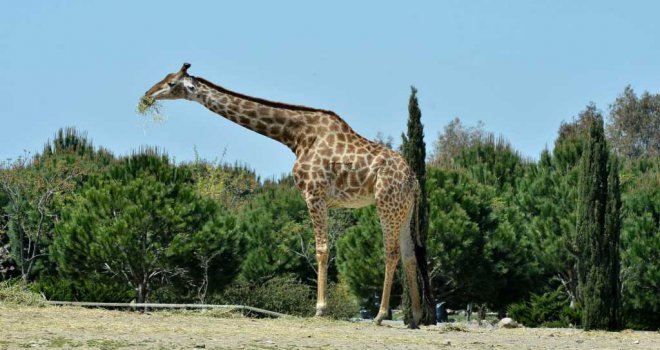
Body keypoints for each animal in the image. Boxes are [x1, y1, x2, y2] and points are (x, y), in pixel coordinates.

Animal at [143, 63, 422, 328]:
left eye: (171, 83)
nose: (146, 95)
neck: (296, 137)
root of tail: (414, 180)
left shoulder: (314, 195)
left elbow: (321, 249)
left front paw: (320, 309)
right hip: (404, 209)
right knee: (410, 254)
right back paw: (416, 317)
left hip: (385, 203)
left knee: (391, 252)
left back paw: (380, 315)